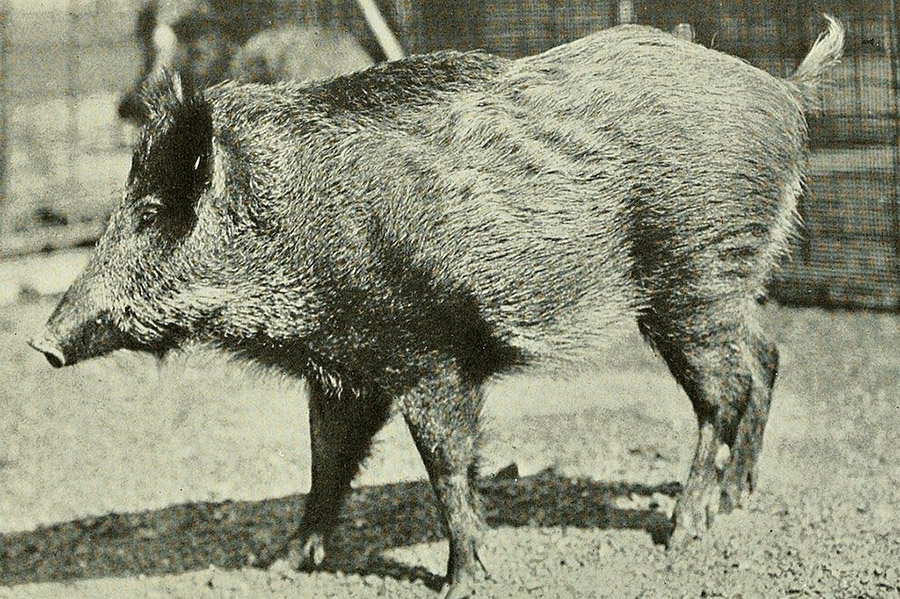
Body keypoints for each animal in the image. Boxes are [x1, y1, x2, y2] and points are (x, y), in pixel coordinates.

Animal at [32, 16, 844, 599]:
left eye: (151, 213)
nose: (43, 343)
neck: (300, 227)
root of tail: (784, 92)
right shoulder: (343, 369)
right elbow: (325, 462)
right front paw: (281, 563)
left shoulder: (429, 355)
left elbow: (447, 464)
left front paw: (463, 582)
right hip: (728, 282)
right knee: (767, 358)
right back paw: (737, 500)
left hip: (693, 278)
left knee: (725, 392)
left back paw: (681, 529)